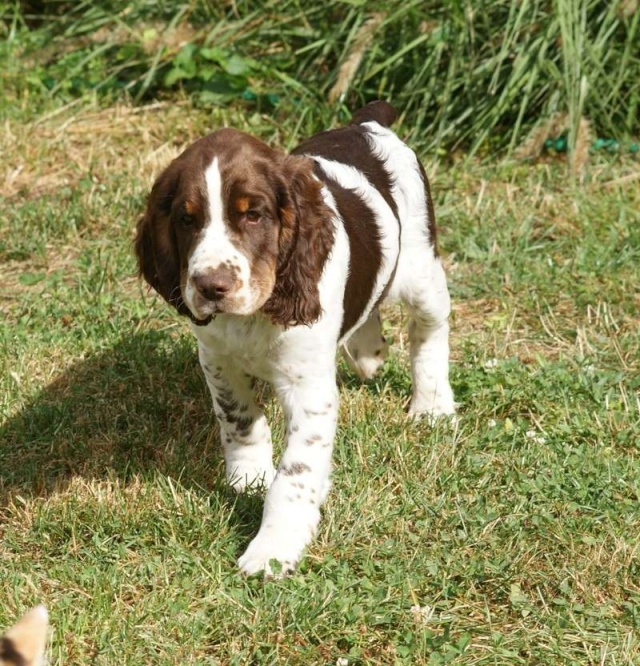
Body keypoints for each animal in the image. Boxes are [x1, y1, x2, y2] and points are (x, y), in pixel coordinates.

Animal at [135, 101, 456, 572]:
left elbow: (296, 473)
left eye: (254, 214)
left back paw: (432, 405)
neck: (257, 313)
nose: (211, 287)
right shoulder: (217, 359)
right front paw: (248, 477)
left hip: (420, 269)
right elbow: (239, 420)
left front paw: (273, 548)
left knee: (429, 331)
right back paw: (368, 352)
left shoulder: (307, 385)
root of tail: (366, 122)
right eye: (186, 219)